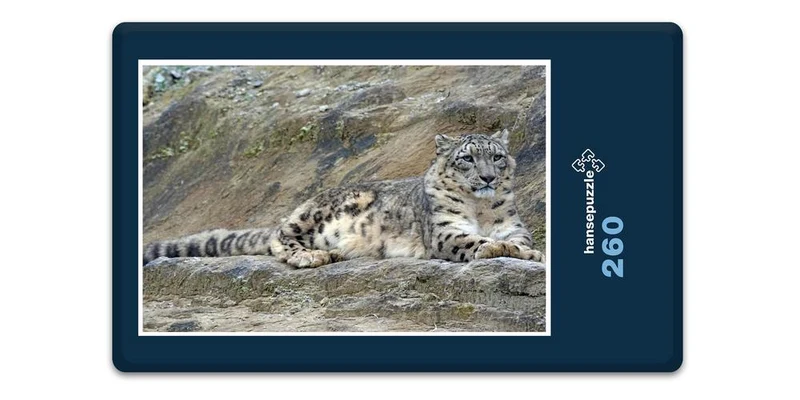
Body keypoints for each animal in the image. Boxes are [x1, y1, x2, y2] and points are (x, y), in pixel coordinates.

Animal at [143, 129, 545, 268]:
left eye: (496, 156)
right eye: (467, 158)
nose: (488, 177)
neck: (481, 209)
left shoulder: (513, 225)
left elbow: (519, 240)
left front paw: (525, 252)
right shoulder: (445, 231)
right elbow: (472, 241)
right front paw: (494, 248)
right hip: (313, 213)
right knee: (279, 237)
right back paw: (312, 256)